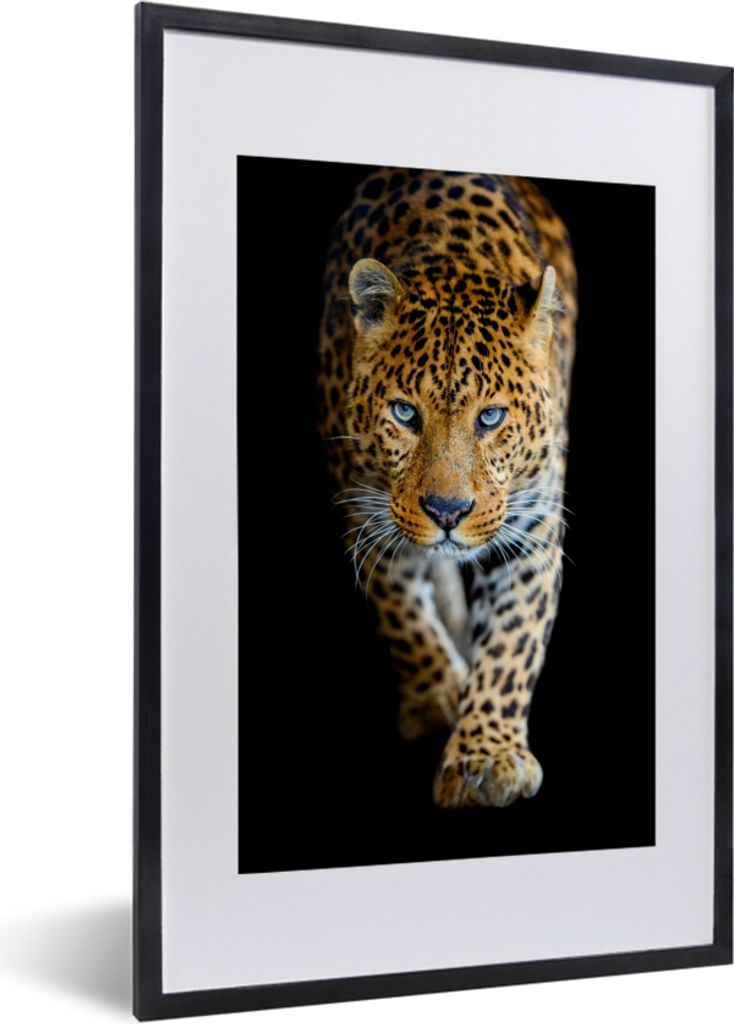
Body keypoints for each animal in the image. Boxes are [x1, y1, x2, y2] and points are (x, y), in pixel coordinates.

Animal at [315, 166, 577, 809]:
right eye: (406, 413)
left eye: (491, 418)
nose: (448, 512)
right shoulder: (364, 508)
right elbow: (400, 611)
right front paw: (437, 698)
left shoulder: (533, 527)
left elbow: (512, 643)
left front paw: (486, 757)